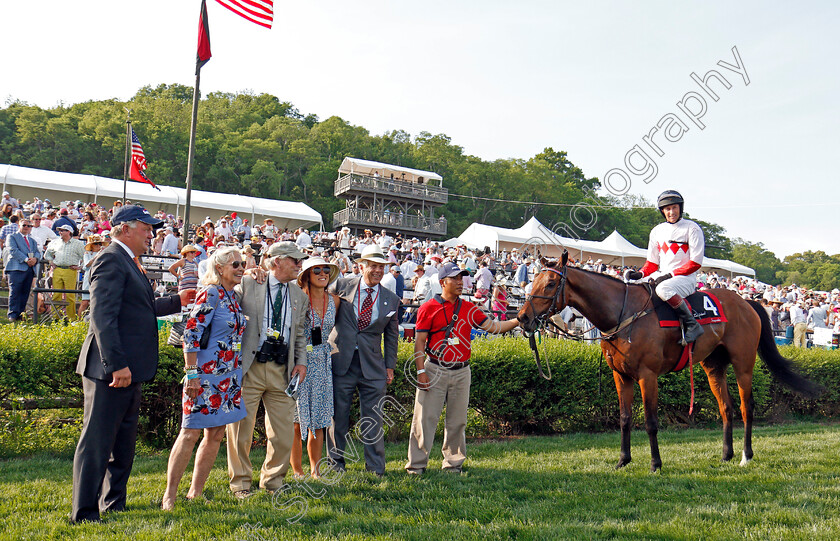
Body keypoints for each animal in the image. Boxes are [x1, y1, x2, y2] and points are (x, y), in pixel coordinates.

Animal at [520, 251, 820, 470]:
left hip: (743, 364)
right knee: (726, 408)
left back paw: (746, 456)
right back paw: (726, 455)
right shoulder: (621, 375)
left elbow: (650, 421)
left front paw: (655, 463)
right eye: (532, 282)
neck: (623, 313)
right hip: (713, 366)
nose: (523, 317)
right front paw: (623, 460)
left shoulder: (647, 375)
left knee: (747, 407)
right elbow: (625, 418)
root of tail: (747, 303)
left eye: (550, 283)